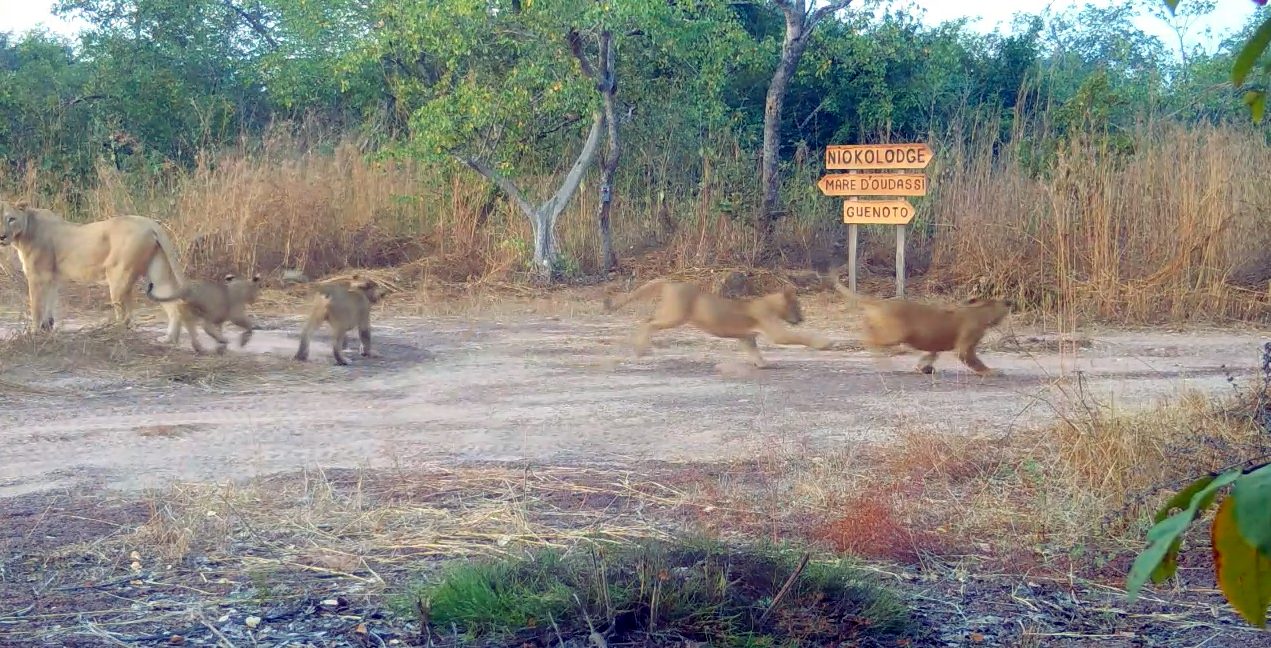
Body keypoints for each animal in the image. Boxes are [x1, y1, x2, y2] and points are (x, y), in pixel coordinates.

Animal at [0, 199, 185, 337]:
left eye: (11, 219)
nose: (1, 236)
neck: (23, 233)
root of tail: (150, 222)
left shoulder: (37, 276)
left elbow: (36, 305)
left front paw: (34, 332)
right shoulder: (52, 277)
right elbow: (49, 303)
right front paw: (47, 327)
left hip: (118, 274)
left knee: (125, 315)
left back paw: (113, 332)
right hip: (158, 273)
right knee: (171, 305)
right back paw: (168, 339)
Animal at [602, 279, 833, 368]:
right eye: (797, 306)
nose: (802, 318)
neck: (769, 303)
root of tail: (670, 282)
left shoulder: (747, 337)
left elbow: (754, 351)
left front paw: (763, 364)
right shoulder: (775, 332)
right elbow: (797, 336)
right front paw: (823, 344)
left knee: (647, 321)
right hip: (674, 316)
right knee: (648, 322)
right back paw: (641, 349)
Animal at [833, 268, 1011, 376]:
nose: (1009, 302)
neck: (981, 310)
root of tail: (882, 302)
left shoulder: (936, 345)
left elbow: (930, 355)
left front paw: (923, 368)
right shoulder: (966, 345)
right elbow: (974, 361)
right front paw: (992, 371)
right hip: (895, 334)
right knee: (871, 340)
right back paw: (884, 363)